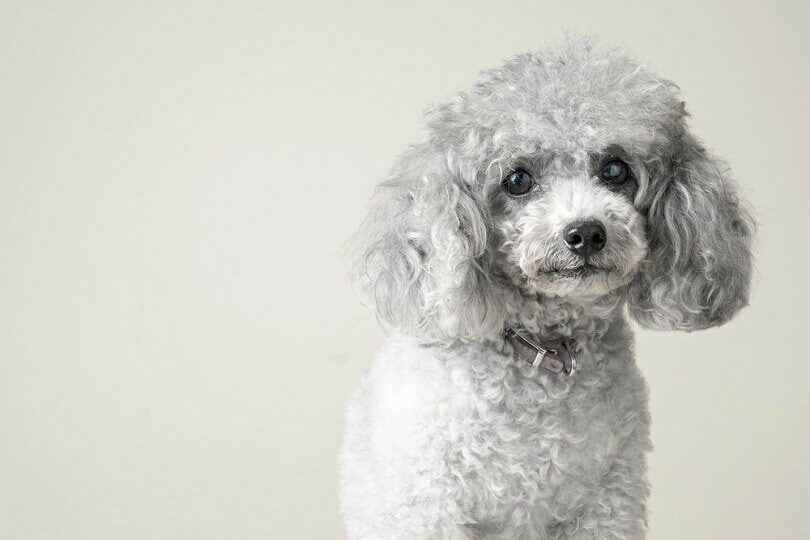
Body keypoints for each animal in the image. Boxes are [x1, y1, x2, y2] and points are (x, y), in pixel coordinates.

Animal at [340, 39, 752, 540]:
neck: (543, 351)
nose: (586, 233)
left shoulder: (607, 500)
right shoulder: (427, 502)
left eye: (615, 170)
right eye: (517, 180)